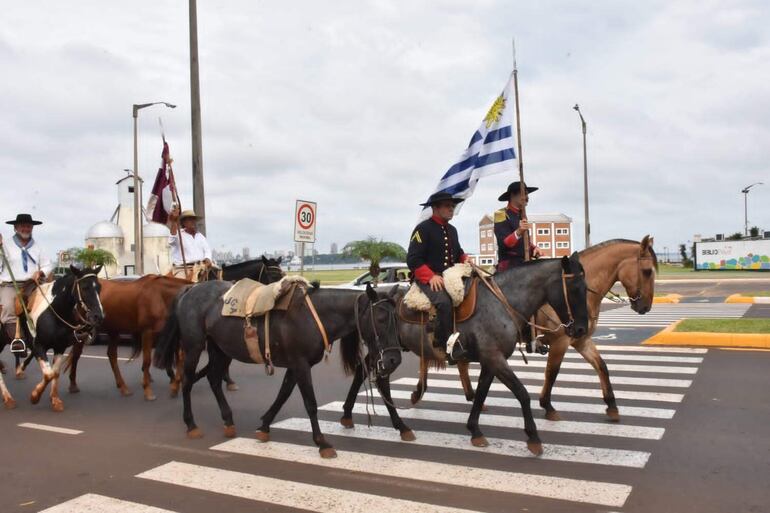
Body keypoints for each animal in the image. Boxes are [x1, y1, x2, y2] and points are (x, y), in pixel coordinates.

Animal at [153, 282, 400, 458]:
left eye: (397, 318)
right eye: (380, 318)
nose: (393, 359)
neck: (313, 316)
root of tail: (191, 289)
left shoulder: (296, 365)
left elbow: (283, 394)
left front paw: (264, 426)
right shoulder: (301, 365)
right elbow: (310, 404)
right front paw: (322, 443)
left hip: (220, 349)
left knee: (214, 379)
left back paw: (228, 421)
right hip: (194, 347)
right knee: (187, 381)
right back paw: (191, 424)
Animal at [340, 252, 584, 452]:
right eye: (574, 288)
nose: (581, 329)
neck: (501, 302)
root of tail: (368, 297)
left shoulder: (491, 361)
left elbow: (482, 393)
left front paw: (474, 430)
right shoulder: (495, 359)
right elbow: (522, 393)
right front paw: (533, 437)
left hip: (383, 352)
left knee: (363, 372)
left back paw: (348, 415)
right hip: (385, 351)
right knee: (381, 381)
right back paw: (401, 426)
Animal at [416, 236, 656, 420]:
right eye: (647, 271)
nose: (645, 307)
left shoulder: (580, 339)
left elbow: (602, 366)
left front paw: (612, 405)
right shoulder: (561, 341)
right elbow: (552, 372)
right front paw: (547, 405)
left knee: (461, 363)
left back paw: (471, 397)